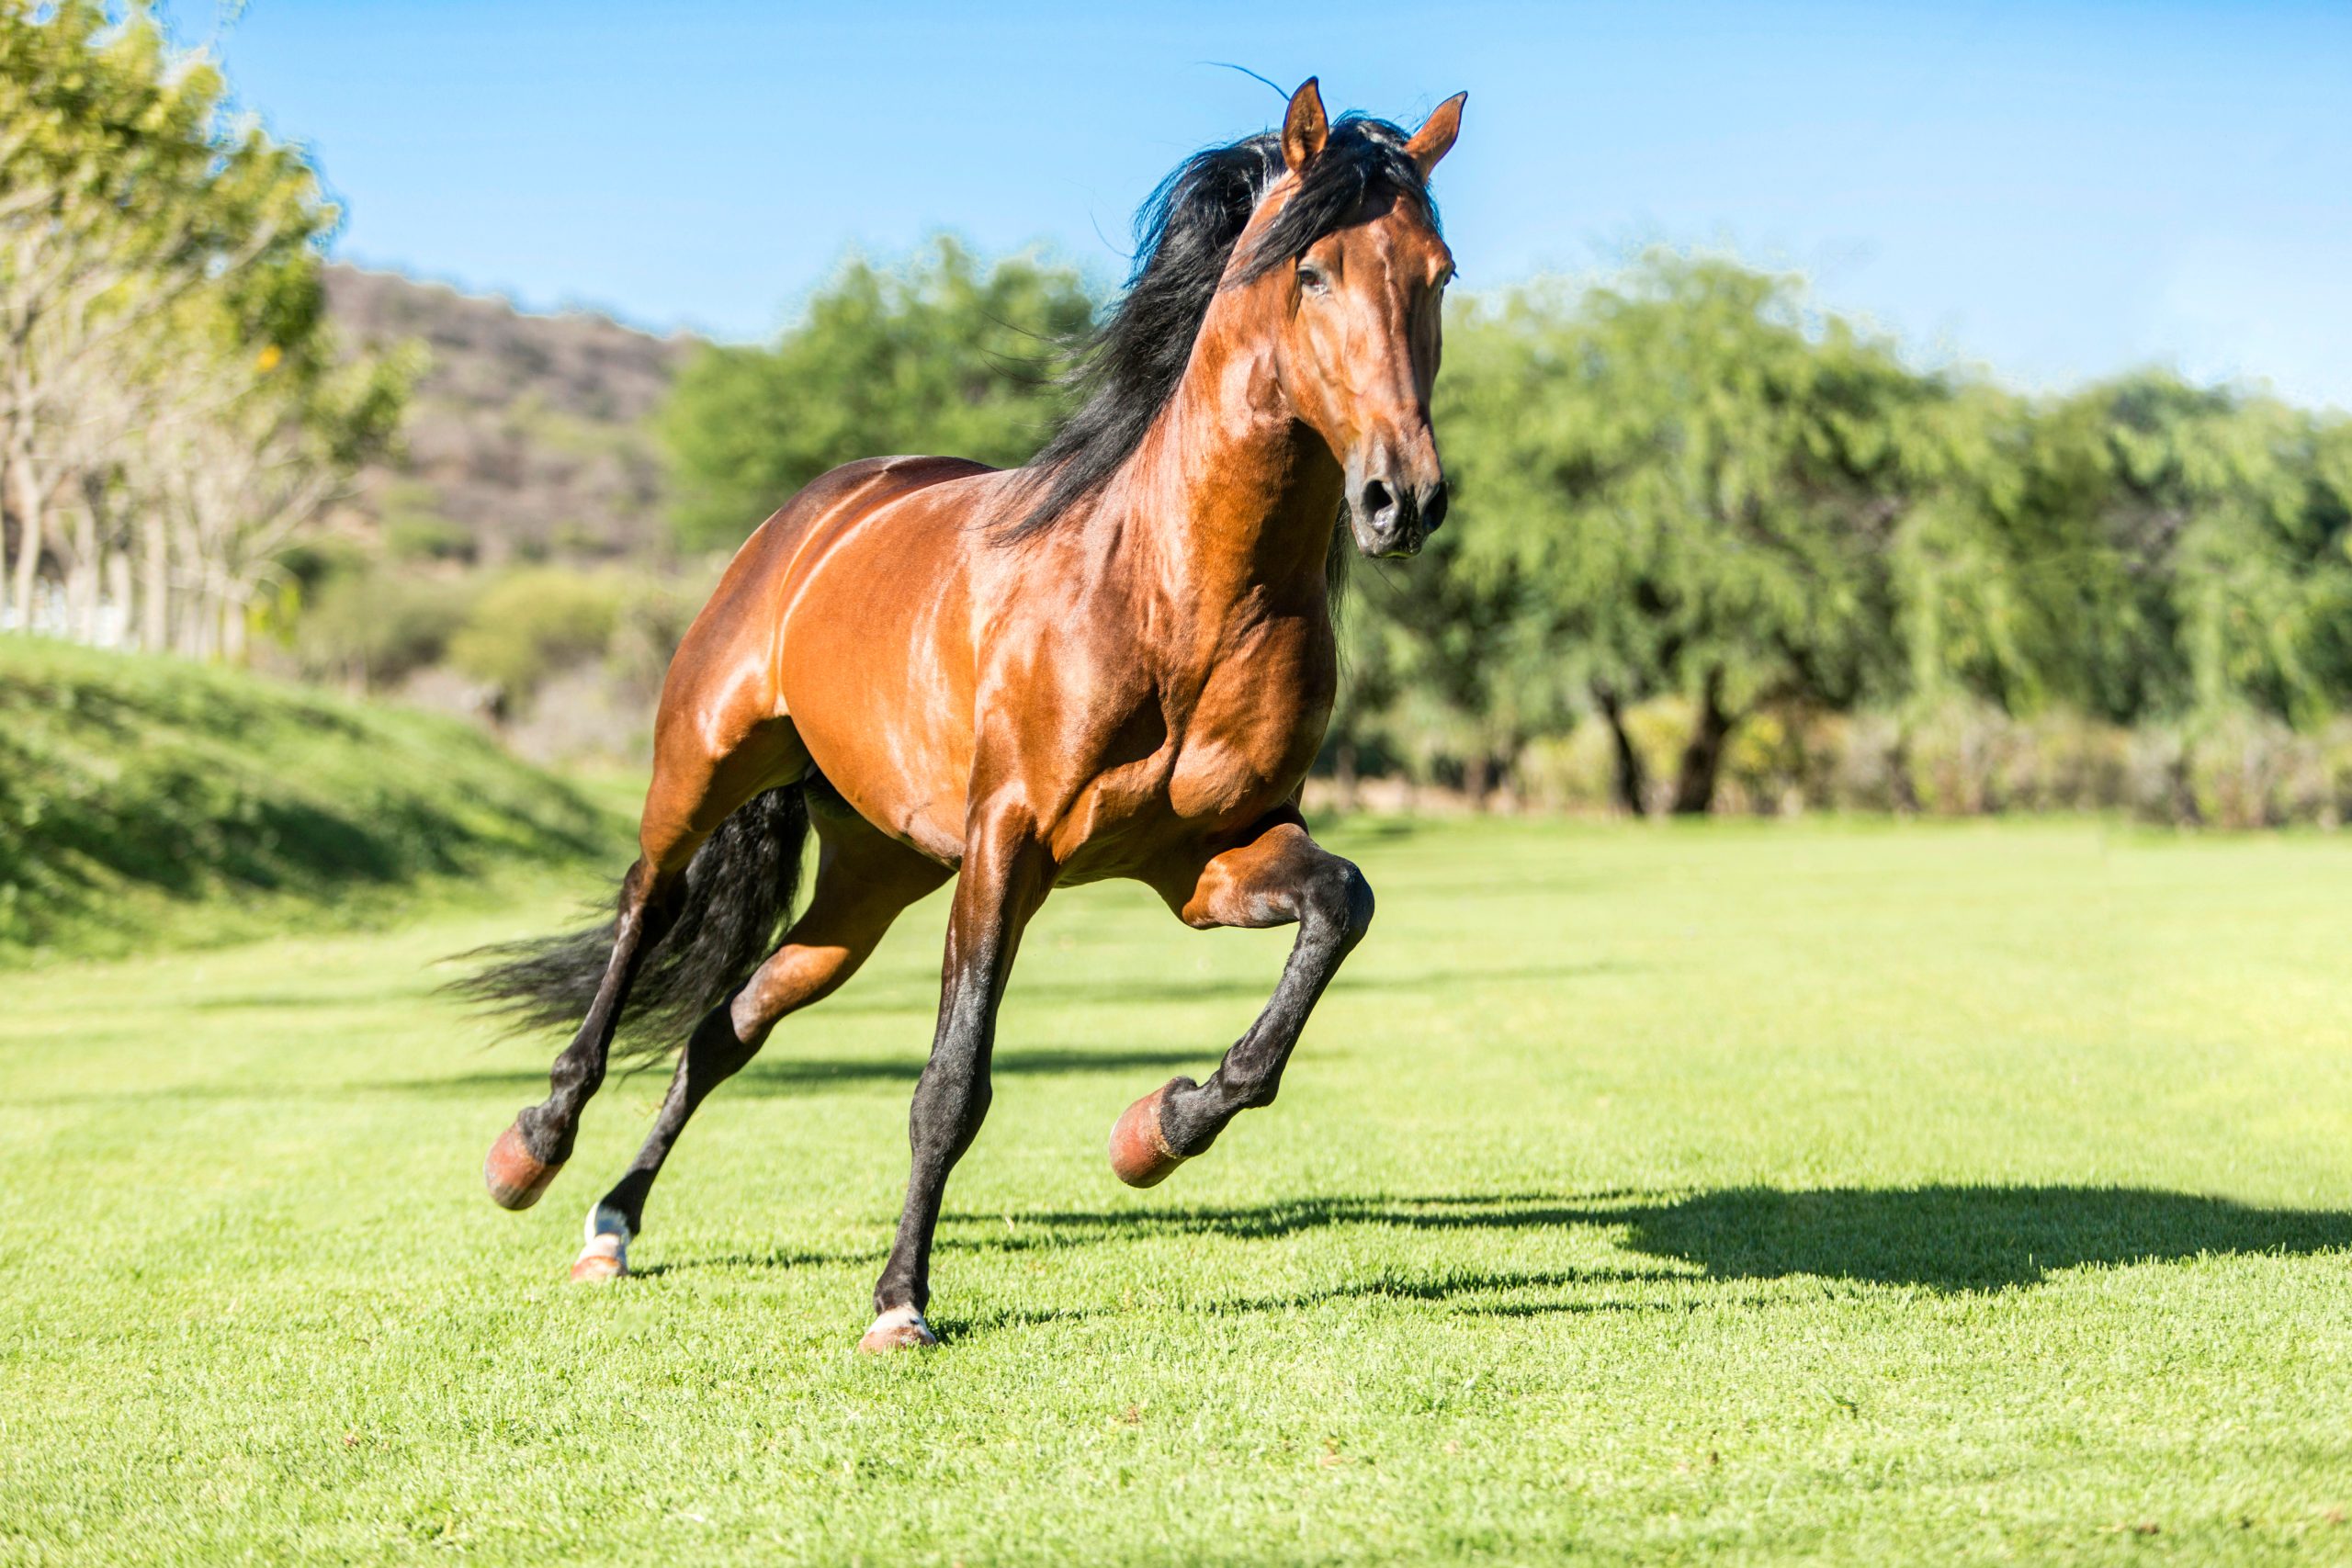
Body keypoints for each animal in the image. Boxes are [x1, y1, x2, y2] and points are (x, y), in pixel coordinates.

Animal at [460, 76, 1458, 1354]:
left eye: (1436, 274)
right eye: (1315, 271)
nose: (1402, 499)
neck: (1170, 594)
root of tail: (825, 506)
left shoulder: (1206, 859)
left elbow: (1340, 908)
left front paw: (1158, 1131)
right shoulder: (1008, 844)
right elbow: (951, 1085)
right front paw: (901, 1302)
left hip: (868, 879)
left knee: (726, 1026)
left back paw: (613, 1227)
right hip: (703, 767)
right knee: (648, 909)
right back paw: (532, 1151)